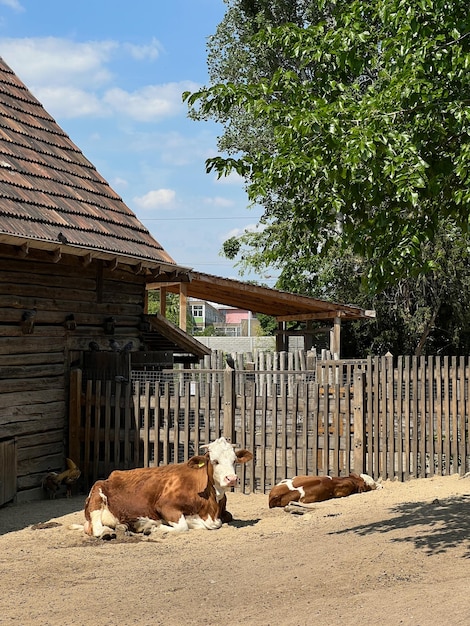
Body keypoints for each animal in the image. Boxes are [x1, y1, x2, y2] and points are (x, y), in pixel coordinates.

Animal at [80, 434, 253, 536]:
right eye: (215, 461)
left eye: (234, 461)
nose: (231, 478)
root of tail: (111, 475)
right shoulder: (165, 506)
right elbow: (182, 526)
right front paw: (152, 527)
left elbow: (226, 517)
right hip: (97, 495)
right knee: (96, 528)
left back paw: (123, 527)